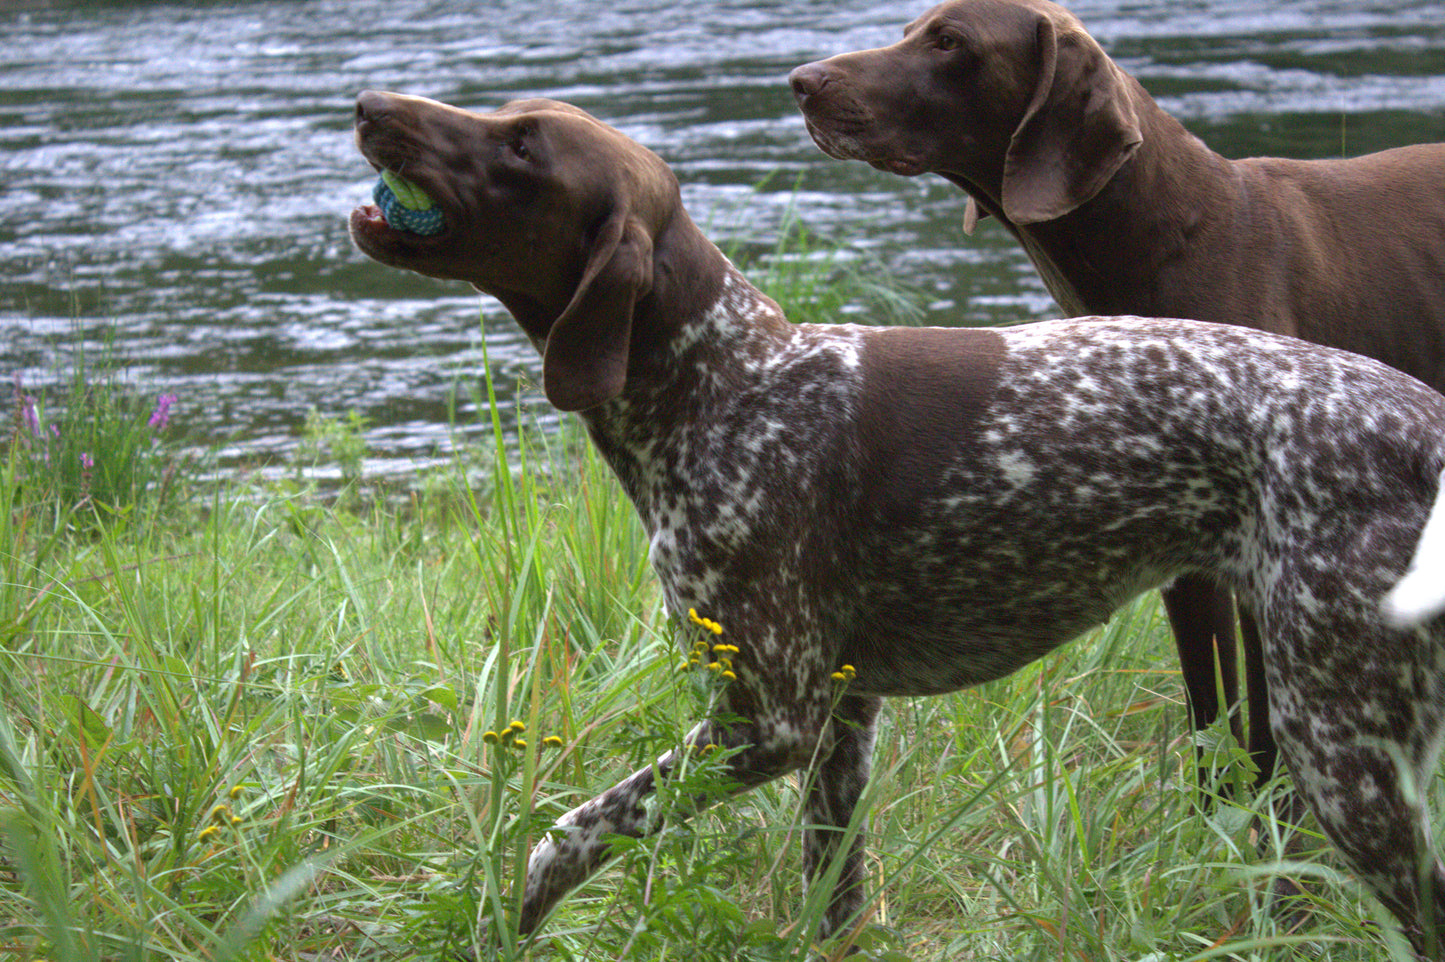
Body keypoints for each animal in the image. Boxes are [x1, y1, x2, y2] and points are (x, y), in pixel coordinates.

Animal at [346, 89, 1445, 953]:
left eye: (523, 147)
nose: (367, 105)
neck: (723, 380)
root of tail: (1423, 424)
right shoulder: (839, 726)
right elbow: (829, 903)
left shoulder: (767, 716)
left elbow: (563, 832)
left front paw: (507, 913)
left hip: (1338, 746)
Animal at [791, 0, 1445, 785]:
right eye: (911, 29)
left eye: (949, 41)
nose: (801, 81)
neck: (1169, 237)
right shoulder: (1185, 562)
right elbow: (1211, 715)